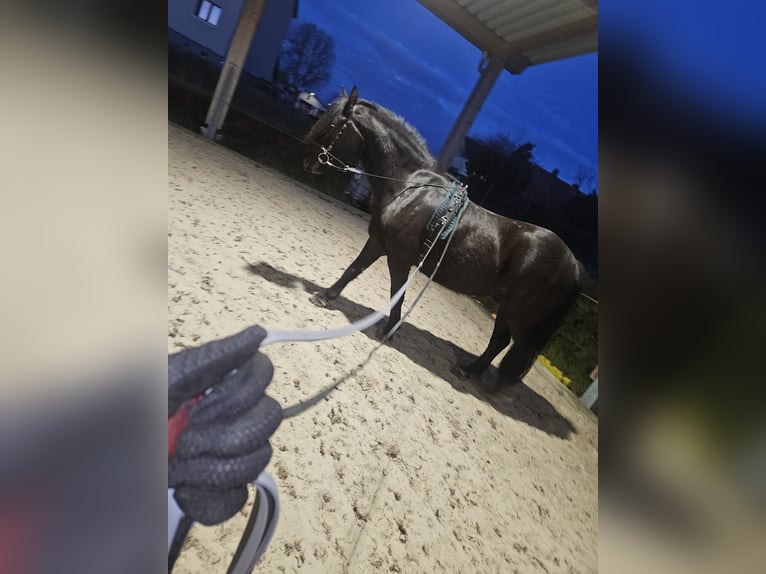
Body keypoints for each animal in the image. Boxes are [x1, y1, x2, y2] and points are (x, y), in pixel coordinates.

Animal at [303, 87, 583, 389]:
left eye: (331, 124)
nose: (309, 161)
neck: (409, 187)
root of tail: (573, 266)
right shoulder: (378, 243)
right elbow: (353, 270)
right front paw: (325, 296)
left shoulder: (399, 257)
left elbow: (396, 293)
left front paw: (389, 329)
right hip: (507, 307)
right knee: (501, 342)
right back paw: (470, 371)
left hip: (520, 315)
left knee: (514, 348)